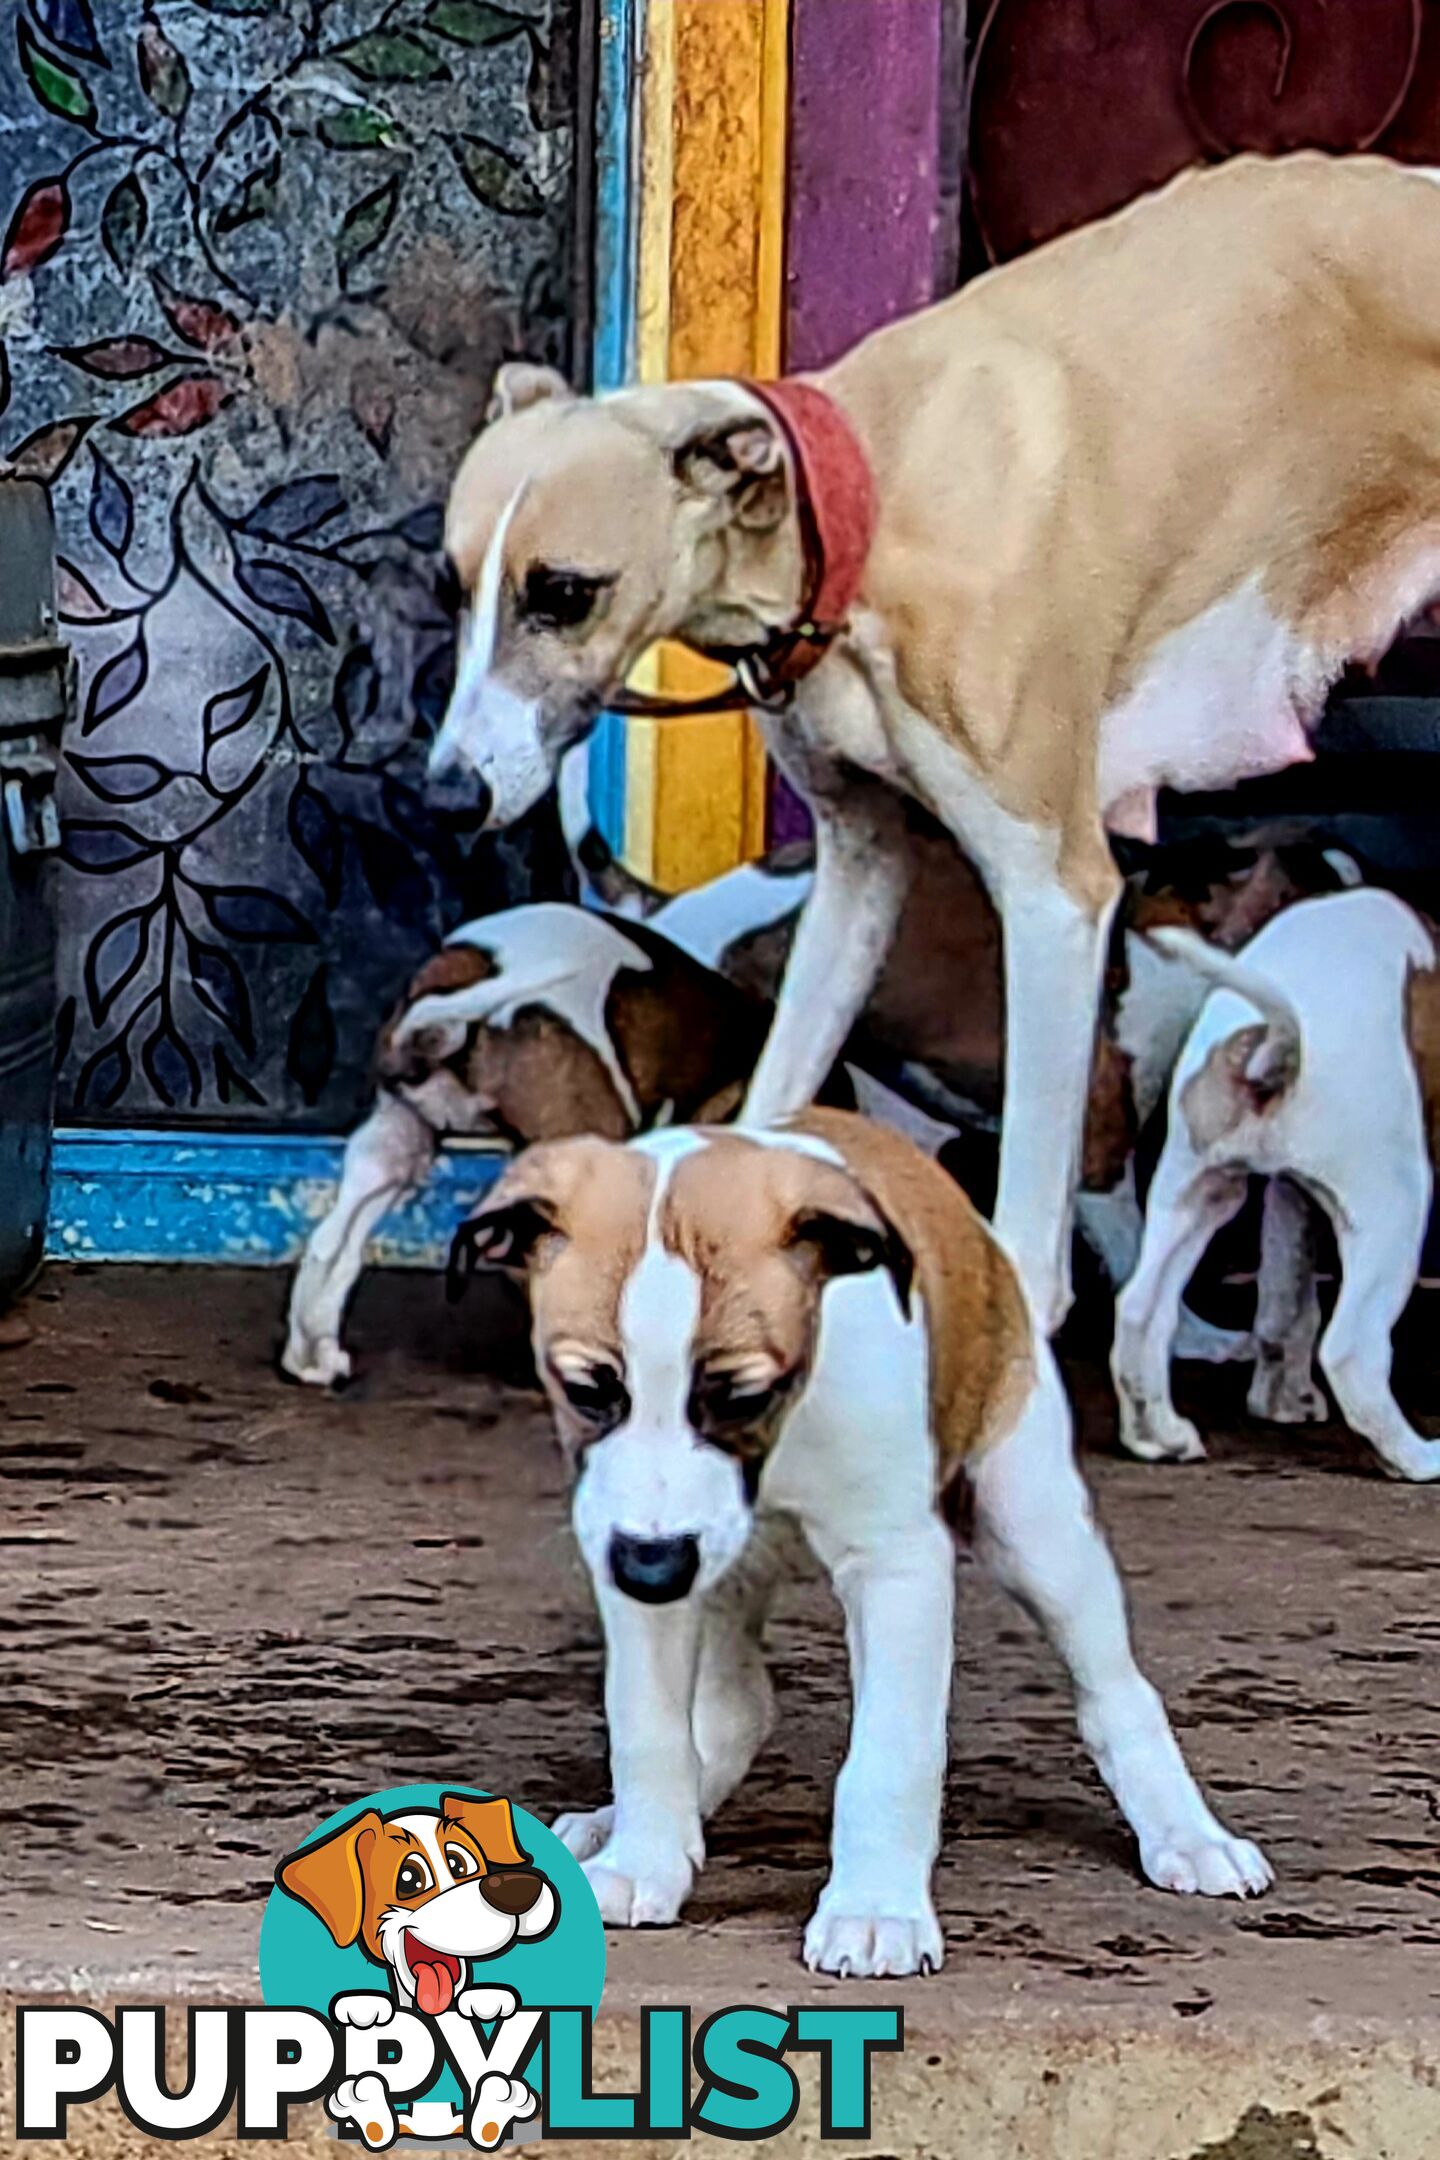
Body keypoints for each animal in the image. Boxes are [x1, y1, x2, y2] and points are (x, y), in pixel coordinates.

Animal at [427, 152, 1440, 1330]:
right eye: (453, 586)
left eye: (564, 593)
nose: (446, 796)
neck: (867, 500)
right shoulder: (859, 869)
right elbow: (769, 1102)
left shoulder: (1057, 902)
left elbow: (1033, 1248)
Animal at [451, 1114, 1269, 1978]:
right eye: (587, 1390)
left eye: (742, 1394)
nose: (653, 1568)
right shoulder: (640, 1557)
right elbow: (650, 1728)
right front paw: (644, 1859)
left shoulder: (897, 1568)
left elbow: (889, 1754)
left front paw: (875, 1909)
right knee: (737, 1705)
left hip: (1034, 1524)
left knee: (1115, 1687)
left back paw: (1189, 1835)